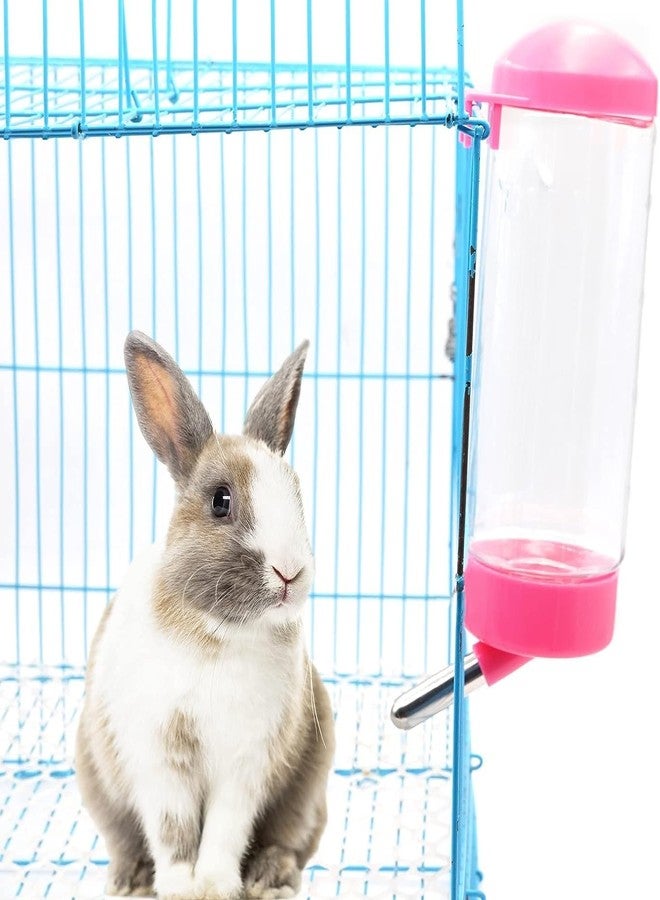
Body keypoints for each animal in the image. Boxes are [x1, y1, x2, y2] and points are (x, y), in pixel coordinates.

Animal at [75, 331, 334, 900]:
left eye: (298, 496)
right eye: (221, 501)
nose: (290, 573)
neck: (219, 635)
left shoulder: (245, 764)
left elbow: (223, 831)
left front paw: (215, 885)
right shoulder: (159, 759)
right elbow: (172, 832)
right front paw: (178, 886)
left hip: (309, 789)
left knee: (289, 841)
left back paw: (268, 878)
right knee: (125, 840)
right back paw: (130, 880)